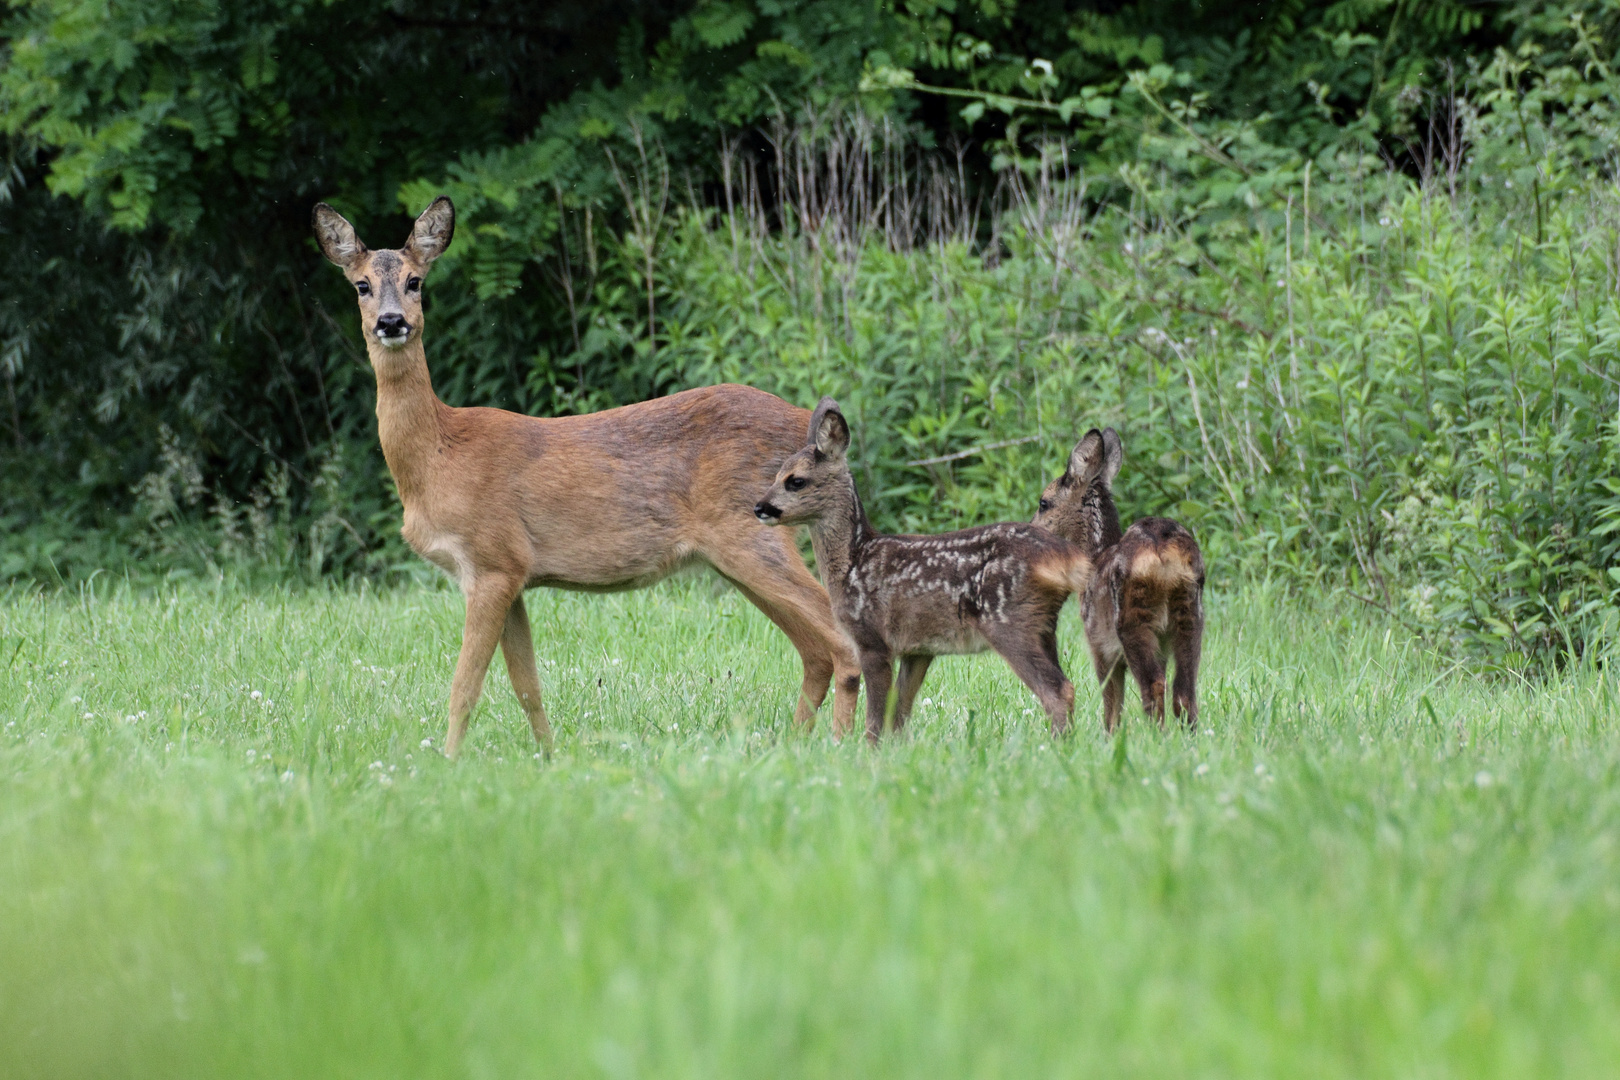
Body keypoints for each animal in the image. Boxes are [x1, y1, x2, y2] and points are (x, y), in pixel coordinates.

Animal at [312, 196, 862, 757]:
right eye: (360, 284)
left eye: (415, 280)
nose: (391, 321)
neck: (439, 456)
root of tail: (799, 420)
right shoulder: (515, 572)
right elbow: (527, 686)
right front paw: (549, 757)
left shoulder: (491, 561)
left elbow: (465, 687)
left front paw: (448, 762)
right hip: (737, 552)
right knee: (815, 650)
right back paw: (791, 744)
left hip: (748, 533)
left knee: (843, 644)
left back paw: (843, 745)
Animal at [753, 398, 1095, 743]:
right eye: (775, 474)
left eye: (796, 480)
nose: (759, 507)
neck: (852, 562)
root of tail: (1069, 558)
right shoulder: (918, 648)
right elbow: (898, 711)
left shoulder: (872, 638)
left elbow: (875, 718)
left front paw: (868, 751)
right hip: (1044, 626)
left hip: (1010, 621)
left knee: (1058, 690)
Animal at [1033, 428, 1205, 733]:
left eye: (1044, 503)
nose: (1031, 529)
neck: (1096, 556)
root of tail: (1163, 554)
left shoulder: (1099, 645)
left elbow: (1111, 703)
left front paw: (1110, 736)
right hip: (1190, 616)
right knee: (1184, 691)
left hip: (1131, 619)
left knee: (1154, 685)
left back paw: (1155, 736)